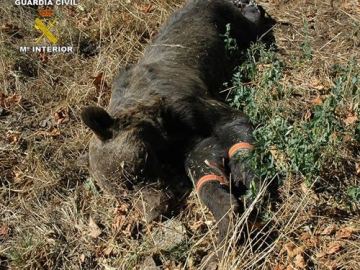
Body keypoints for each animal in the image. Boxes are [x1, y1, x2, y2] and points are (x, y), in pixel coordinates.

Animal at [81, 0, 272, 249]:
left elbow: (234, 125)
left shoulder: (190, 103)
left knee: (251, 27)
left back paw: (253, 8)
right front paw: (227, 219)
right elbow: (202, 165)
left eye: (135, 172)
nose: (154, 214)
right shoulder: (189, 141)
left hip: (232, 23)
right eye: (123, 197)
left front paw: (251, 183)